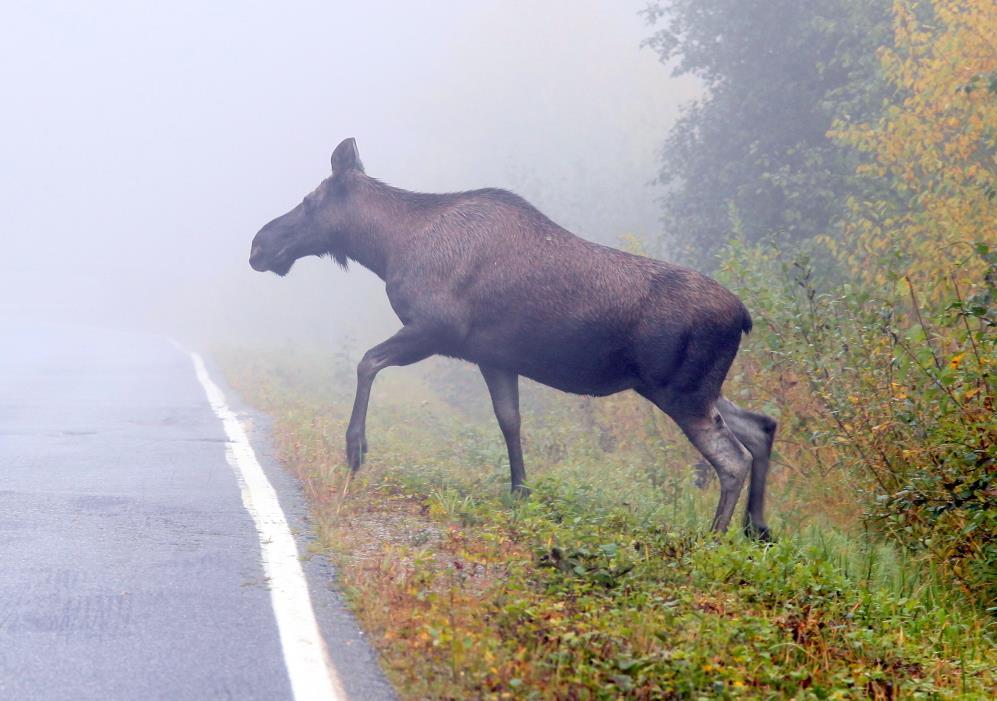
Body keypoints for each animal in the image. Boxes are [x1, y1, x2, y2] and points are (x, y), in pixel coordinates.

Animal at [251, 138, 780, 536]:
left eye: (309, 202)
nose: (258, 245)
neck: (387, 248)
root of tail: (744, 316)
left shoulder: (434, 329)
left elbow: (366, 362)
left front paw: (355, 448)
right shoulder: (494, 357)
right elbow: (510, 421)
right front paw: (520, 491)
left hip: (680, 391)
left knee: (731, 458)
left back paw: (712, 537)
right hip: (698, 387)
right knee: (761, 426)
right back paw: (756, 528)